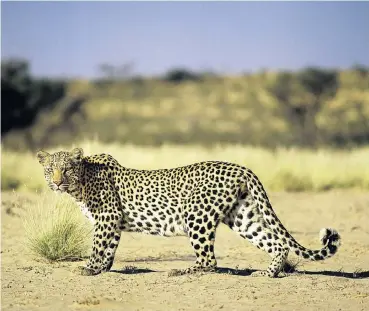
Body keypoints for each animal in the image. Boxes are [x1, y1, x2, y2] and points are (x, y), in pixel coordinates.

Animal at [36, 148, 340, 278]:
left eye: (67, 169)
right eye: (50, 169)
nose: (57, 182)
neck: (81, 184)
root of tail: (242, 167)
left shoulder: (107, 217)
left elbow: (98, 245)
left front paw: (89, 268)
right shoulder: (111, 222)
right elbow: (109, 248)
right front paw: (102, 269)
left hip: (197, 215)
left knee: (209, 260)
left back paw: (180, 270)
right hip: (242, 216)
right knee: (276, 243)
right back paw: (268, 273)